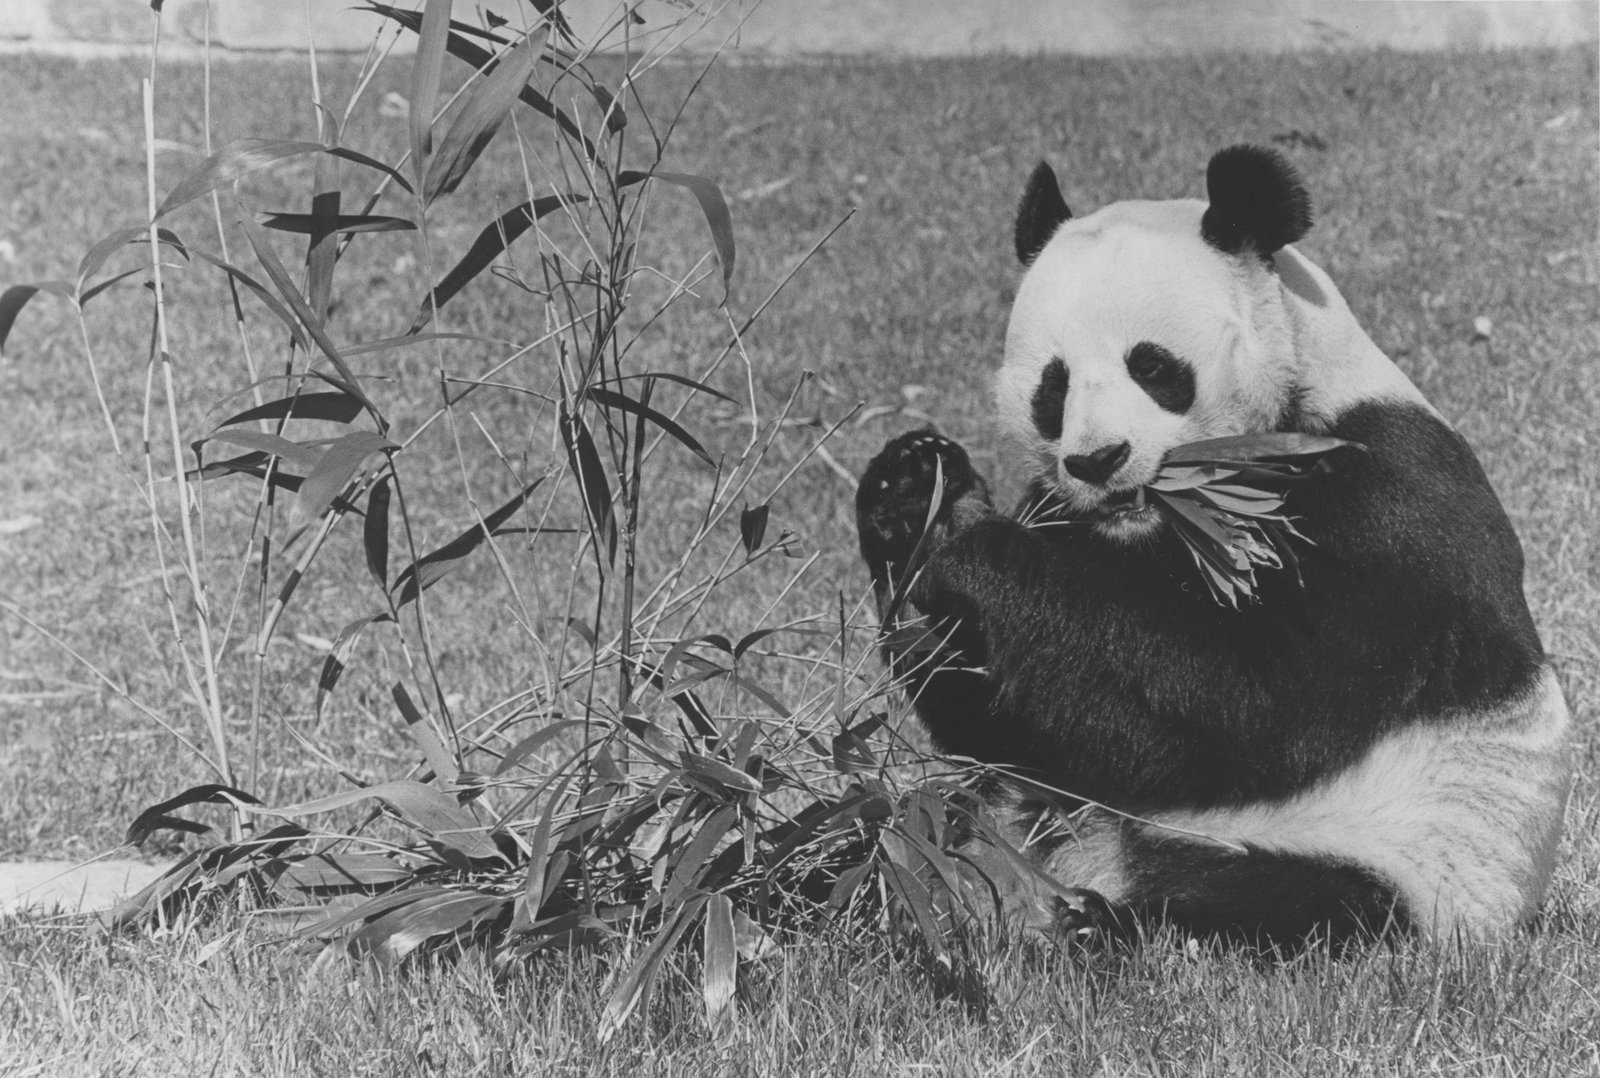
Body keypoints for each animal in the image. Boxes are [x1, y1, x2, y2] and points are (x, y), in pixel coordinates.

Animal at [855, 145, 1573, 945]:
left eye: (1153, 366)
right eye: (1053, 387)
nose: (1098, 460)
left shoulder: (1384, 515)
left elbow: (1246, 708)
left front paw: (975, 549)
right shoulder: (1059, 511)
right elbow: (1018, 719)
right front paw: (918, 495)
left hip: (1408, 863)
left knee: (1279, 900)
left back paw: (1094, 919)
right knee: (910, 833)